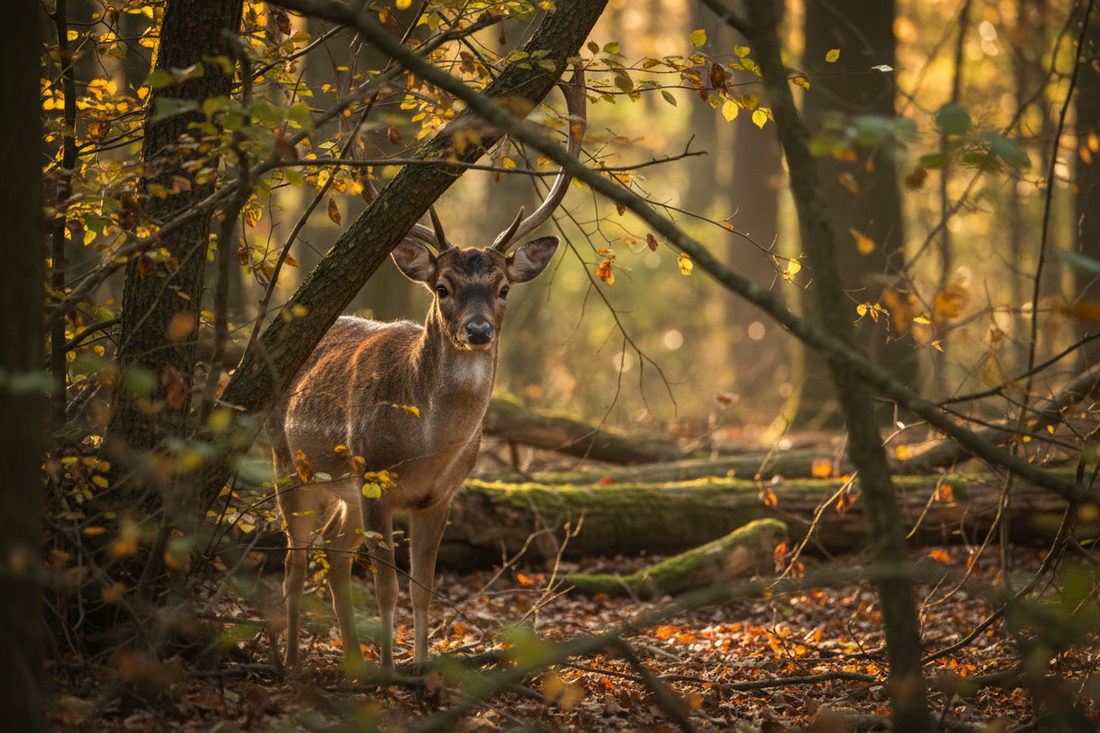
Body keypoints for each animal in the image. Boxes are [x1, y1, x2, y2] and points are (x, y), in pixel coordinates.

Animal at [269, 72, 585, 671]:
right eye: (442, 287)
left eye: (503, 288)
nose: (478, 331)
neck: (425, 446)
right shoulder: (374, 477)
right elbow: (387, 588)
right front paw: (392, 671)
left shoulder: (440, 495)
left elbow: (423, 588)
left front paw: (417, 666)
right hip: (290, 464)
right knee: (296, 562)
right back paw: (292, 660)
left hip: (341, 490)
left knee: (332, 551)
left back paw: (350, 661)